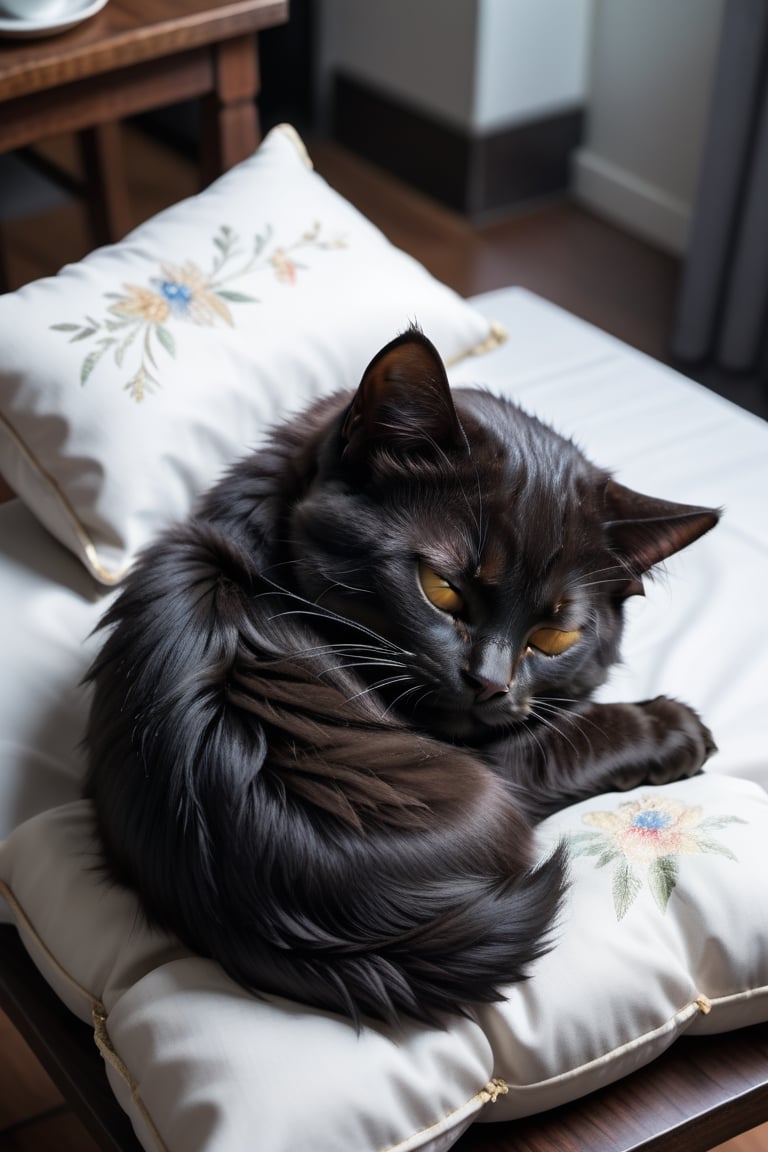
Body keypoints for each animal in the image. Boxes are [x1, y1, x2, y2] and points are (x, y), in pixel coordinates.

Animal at [85, 329, 723, 1022]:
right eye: (441, 589)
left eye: (554, 637)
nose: (489, 683)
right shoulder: (503, 764)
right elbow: (567, 735)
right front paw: (674, 727)